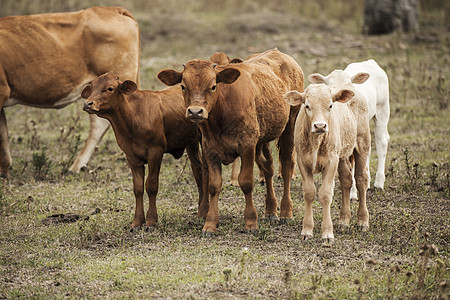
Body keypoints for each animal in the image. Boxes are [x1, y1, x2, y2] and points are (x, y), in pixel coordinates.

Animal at [82, 72, 209, 230]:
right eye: (91, 88)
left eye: (110, 88)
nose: (87, 103)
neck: (132, 118)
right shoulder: (131, 157)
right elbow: (138, 188)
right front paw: (137, 221)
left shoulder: (155, 152)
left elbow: (151, 185)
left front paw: (151, 220)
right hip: (191, 142)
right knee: (197, 169)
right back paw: (200, 210)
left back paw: (204, 210)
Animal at [157, 48, 302, 234]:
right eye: (183, 86)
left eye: (213, 86)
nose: (195, 112)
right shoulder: (209, 149)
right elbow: (214, 185)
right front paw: (210, 224)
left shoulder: (247, 146)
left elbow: (246, 182)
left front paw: (251, 222)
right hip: (262, 139)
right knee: (268, 167)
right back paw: (270, 210)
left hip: (289, 125)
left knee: (285, 167)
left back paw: (285, 212)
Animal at [284, 83, 370, 243]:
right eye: (307, 106)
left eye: (330, 105)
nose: (320, 126)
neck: (316, 141)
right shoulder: (302, 161)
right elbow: (309, 192)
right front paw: (307, 230)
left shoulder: (331, 161)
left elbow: (325, 194)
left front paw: (327, 233)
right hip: (341, 156)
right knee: (346, 180)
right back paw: (344, 221)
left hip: (362, 145)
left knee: (361, 180)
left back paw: (363, 221)